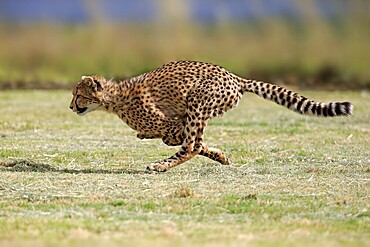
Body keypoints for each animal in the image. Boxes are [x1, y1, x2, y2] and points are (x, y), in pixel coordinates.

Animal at [69, 60, 352, 172]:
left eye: (78, 95)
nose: (71, 107)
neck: (114, 99)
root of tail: (234, 76)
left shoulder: (172, 123)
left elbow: (184, 140)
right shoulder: (178, 124)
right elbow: (198, 142)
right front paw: (221, 156)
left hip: (197, 100)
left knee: (191, 146)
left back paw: (160, 166)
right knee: (194, 142)